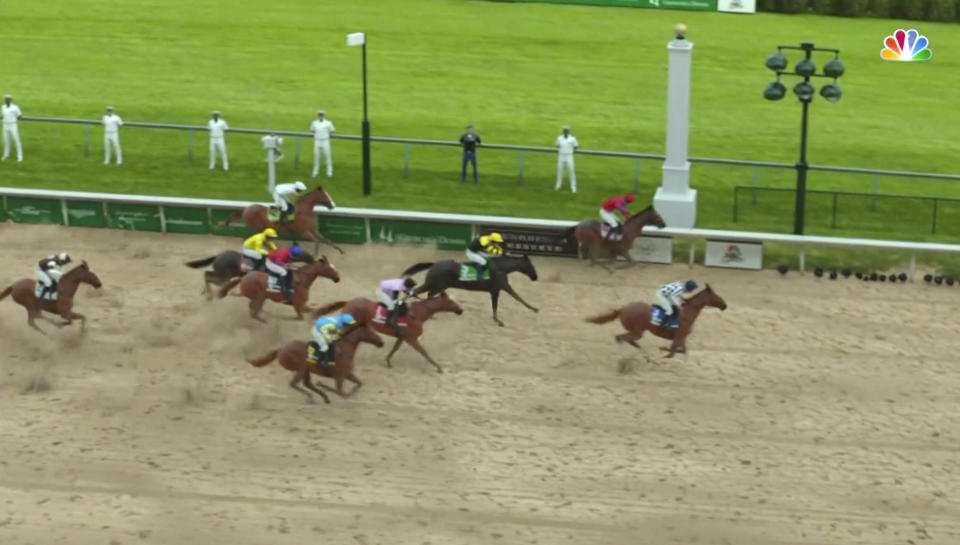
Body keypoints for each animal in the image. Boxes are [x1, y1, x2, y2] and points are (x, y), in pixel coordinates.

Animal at [216, 187, 344, 255]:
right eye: (325, 196)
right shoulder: (304, 232)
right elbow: (317, 242)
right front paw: (316, 256)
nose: (333, 205)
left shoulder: (313, 231)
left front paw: (340, 250)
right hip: (256, 227)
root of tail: (246, 209)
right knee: (249, 239)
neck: (304, 211)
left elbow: (326, 240)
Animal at [246, 324, 384, 404]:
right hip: (301, 368)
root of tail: (281, 349)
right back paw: (312, 397)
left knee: (307, 384)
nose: (381, 342)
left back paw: (323, 397)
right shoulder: (339, 376)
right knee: (295, 384)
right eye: (371, 332)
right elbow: (340, 392)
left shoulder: (347, 373)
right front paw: (325, 385)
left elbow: (359, 383)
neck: (344, 349)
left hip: (306, 370)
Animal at [314, 294, 464, 374]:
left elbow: (395, 348)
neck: (417, 313)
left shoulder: (403, 337)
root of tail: (349, 302)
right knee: (336, 337)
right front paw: (438, 367)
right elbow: (424, 352)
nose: (460, 310)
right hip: (349, 325)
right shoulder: (411, 338)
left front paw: (388, 361)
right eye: (451, 301)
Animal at [404, 253, 540, 326]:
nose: (535, 277)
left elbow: (516, 298)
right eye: (531, 266)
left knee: (426, 295)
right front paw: (498, 321)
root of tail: (434, 264)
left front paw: (534, 309)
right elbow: (509, 300)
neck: (501, 268)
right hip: (435, 285)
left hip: (437, 286)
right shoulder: (498, 288)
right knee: (418, 292)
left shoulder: (499, 288)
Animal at [584, 284, 728, 356]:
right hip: (637, 331)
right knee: (621, 338)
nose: (725, 305)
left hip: (637, 331)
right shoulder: (678, 337)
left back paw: (643, 354)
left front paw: (663, 349)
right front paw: (663, 350)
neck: (687, 313)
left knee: (628, 340)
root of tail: (623, 308)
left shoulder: (681, 338)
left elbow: (681, 351)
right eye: (716, 296)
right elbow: (672, 353)